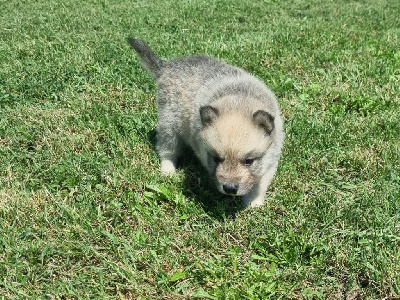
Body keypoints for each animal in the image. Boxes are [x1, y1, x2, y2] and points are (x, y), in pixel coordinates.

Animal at [128, 38, 284, 209]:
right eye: (216, 158)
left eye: (249, 161)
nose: (229, 188)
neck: (239, 103)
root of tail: (166, 66)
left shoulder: (270, 162)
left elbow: (260, 184)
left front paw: (253, 203)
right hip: (168, 124)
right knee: (167, 149)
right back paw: (168, 170)